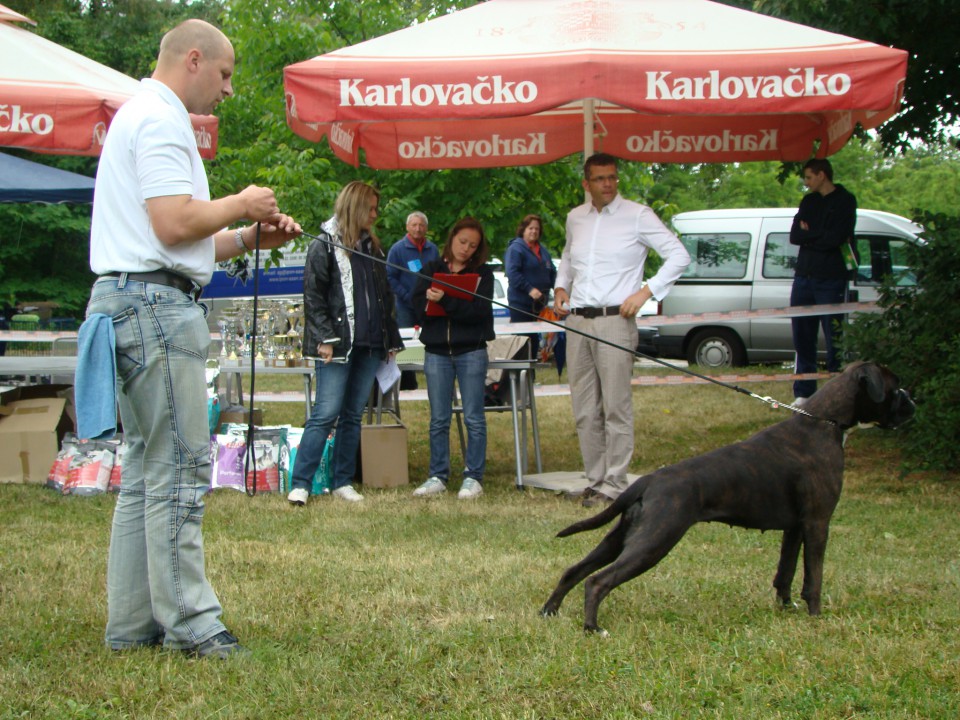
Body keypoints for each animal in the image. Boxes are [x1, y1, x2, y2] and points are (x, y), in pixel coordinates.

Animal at [540, 362, 916, 632]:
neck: (824, 421)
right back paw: (593, 628)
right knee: (597, 581)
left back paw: (549, 611)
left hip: (622, 537)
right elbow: (814, 577)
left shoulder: (794, 528)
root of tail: (646, 481)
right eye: (894, 386)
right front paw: (816, 618)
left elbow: (786, 572)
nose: (913, 402)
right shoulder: (817, 523)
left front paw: (785, 608)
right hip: (655, 540)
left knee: (574, 571)